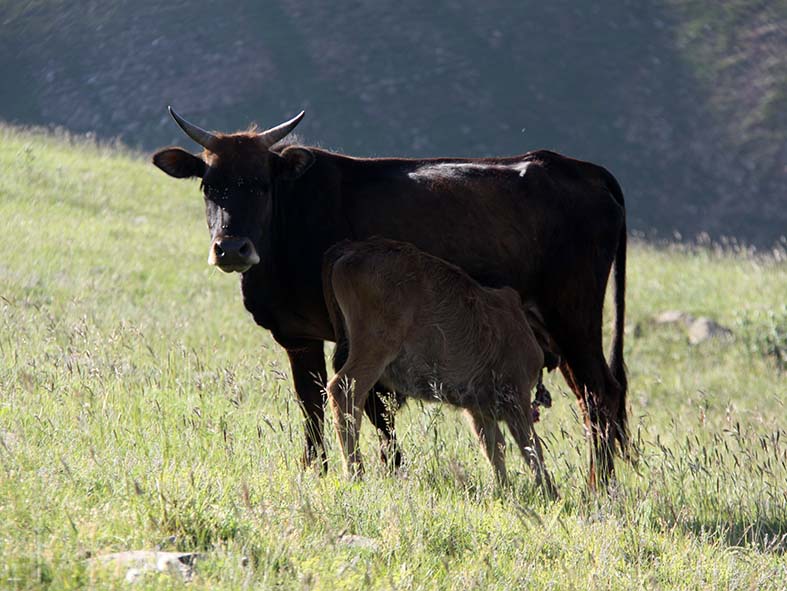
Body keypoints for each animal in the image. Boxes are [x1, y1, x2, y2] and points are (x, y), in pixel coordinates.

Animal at [324, 238, 556, 498]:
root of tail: (347, 252)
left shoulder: (479, 410)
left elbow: (495, 448)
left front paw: (504, 489)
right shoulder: (516, 397)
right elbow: (531, 446)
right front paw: (550, 493)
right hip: (373, 353)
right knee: (342, 392)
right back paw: (356, 474)